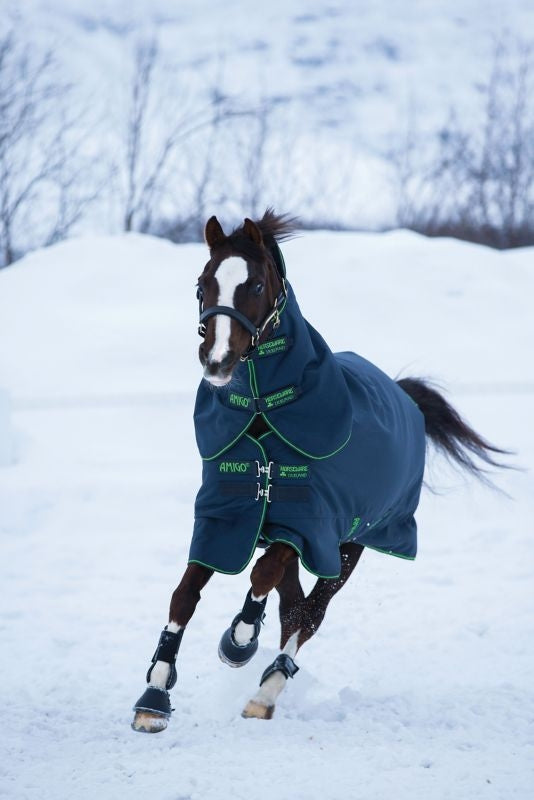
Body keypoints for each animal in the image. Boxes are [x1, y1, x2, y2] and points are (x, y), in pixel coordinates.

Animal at [131, 209, 505, 732]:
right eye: (204, 283)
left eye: (256, 283)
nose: (217, 360)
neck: (265, 416)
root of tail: (403, 393)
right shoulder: (223, 519)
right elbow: (184, 595)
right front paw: (155, 693)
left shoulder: (308, 527)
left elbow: (262, 576)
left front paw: (239, 640)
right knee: (292, 605)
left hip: (353, 544)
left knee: (308, 614)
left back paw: (266, 689)